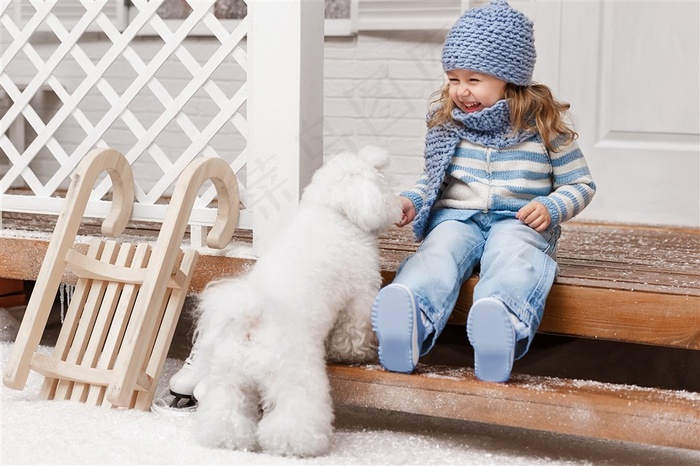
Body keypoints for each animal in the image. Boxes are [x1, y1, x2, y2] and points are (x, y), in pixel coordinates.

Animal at [191, 147, 402, 456]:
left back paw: (226, 440)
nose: (398, 206)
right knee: (294, 411)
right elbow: (353, 332)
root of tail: (252, 320)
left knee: (225, 410)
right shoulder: (360, 293)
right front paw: (354, 354)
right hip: (294, 373)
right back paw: (296, 444)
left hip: (229, 376)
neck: (331, 210)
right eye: (382, 182)